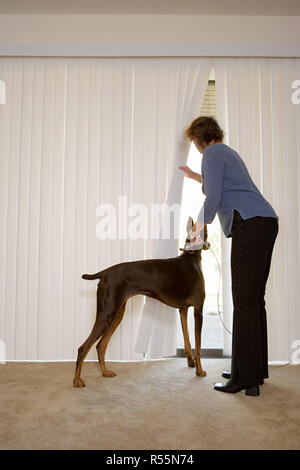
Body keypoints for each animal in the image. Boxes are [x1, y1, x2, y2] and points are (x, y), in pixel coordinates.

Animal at [73, 217, 210, 386]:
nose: (209, 245)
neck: (191, 257)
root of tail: (105, 273)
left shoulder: (183, 310)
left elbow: (188, 340)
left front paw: (191, 363)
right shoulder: (199, 311)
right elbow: (198, 345)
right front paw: (199, 371)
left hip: (117, 314)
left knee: (100, 345)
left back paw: (105, 372)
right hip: (107, 314)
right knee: (83, 347)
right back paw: (77, 380)